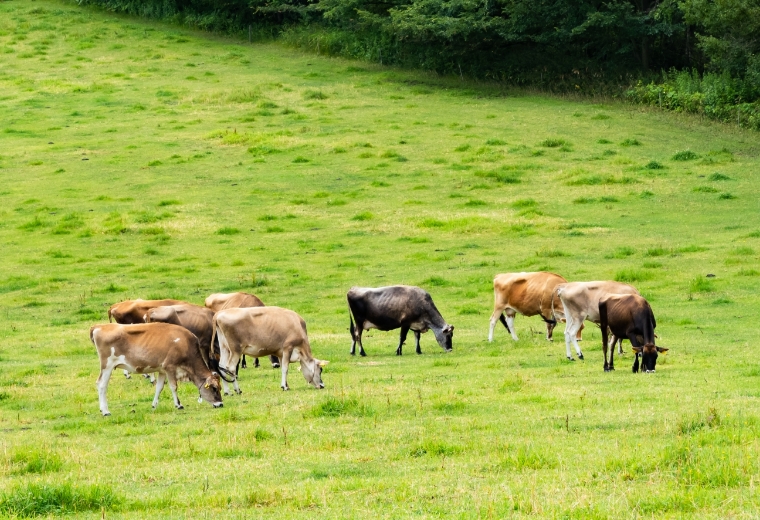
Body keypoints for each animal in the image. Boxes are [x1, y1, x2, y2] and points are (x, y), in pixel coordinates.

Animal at [90, 322, 223, 416]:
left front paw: (154, 405)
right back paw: (105, 411)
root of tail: (99, 326)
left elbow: (159, 387)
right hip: (107, 365)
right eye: (214, 388)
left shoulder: (162, 370)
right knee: (102, 384)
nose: (221, 404)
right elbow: (173, 387)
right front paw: (178, 405)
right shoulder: (170, 367)